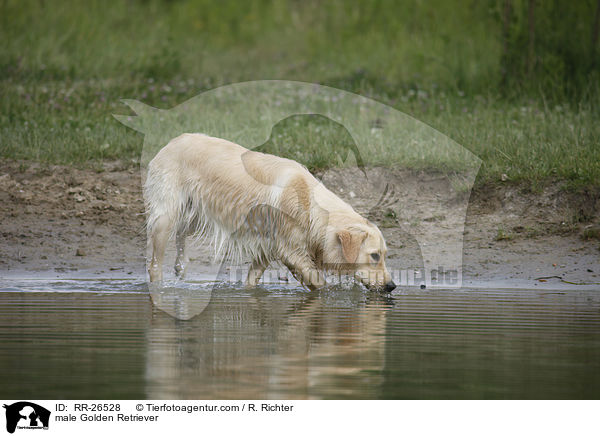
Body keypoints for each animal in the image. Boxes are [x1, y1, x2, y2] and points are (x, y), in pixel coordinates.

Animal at [145, 132, 396, 290]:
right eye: (374, 256)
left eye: (384, 255)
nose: (391, 286)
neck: (310, 205)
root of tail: (172, 141)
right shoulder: (290, 249)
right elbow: (318, 281)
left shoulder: (269, 246)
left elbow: (253, 276)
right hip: (166, 214)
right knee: (155, 261)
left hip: (196, 212)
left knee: (182, 232)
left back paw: (181, 265)